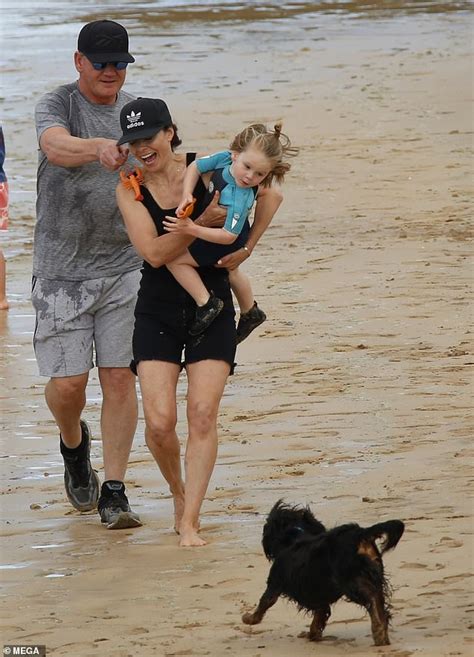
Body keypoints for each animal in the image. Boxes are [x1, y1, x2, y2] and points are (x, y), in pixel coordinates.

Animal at [244, 502, 404, 644]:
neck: (293, 536)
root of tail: (360, 533)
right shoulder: (320, 598)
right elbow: (319, 616)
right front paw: (313, 634)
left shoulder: (274, 582)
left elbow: (264, 602)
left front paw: (248, 618)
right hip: (374, 575)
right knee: (379, 602)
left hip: (353, 581)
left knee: (372, 600)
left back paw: (378, 631)